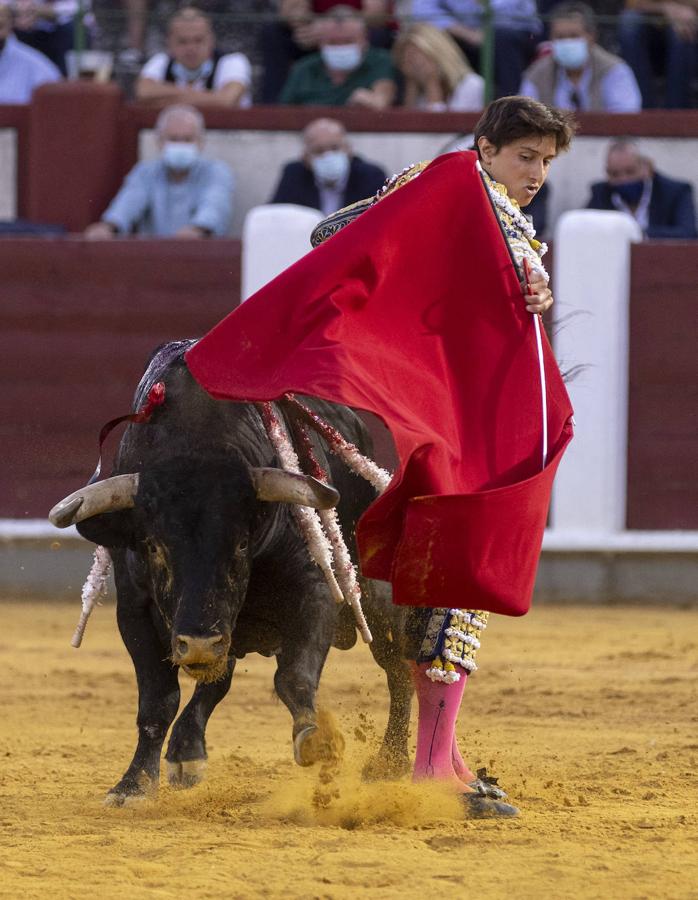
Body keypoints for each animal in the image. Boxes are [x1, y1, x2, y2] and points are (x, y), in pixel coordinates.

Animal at [49, 342, 414, 804]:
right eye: (153, 547)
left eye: (241, 544)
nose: (199, 642)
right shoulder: (135, 608)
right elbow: (157, 699)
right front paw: (134, 784)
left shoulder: (312, 589)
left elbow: (294, 675)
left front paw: (316, 740)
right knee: (215, 679)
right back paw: (186, 751)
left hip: (377, 600)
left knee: (399, 669)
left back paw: (390, 762)